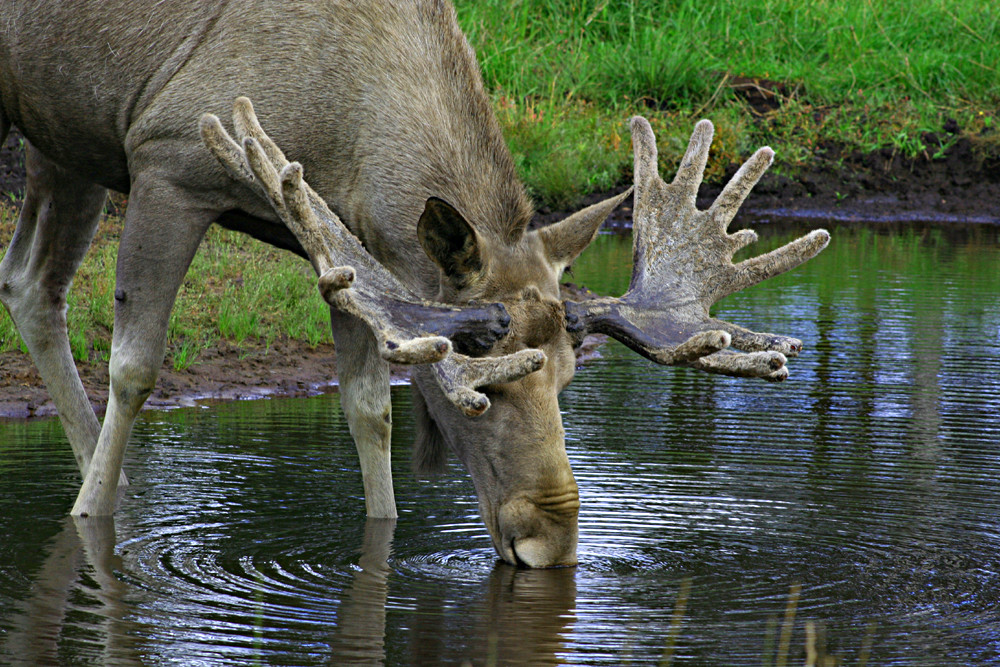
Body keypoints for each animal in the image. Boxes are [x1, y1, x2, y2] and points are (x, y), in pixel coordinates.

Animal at [1, 1, 828, 568]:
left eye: (568, 373)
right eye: (480, 380)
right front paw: (88, 520)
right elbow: (135, 366)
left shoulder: (344, 246)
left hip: (61, 133)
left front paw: (384, 532)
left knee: (30, 280)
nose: (551, 540)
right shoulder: (168, 160)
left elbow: (370, 409)